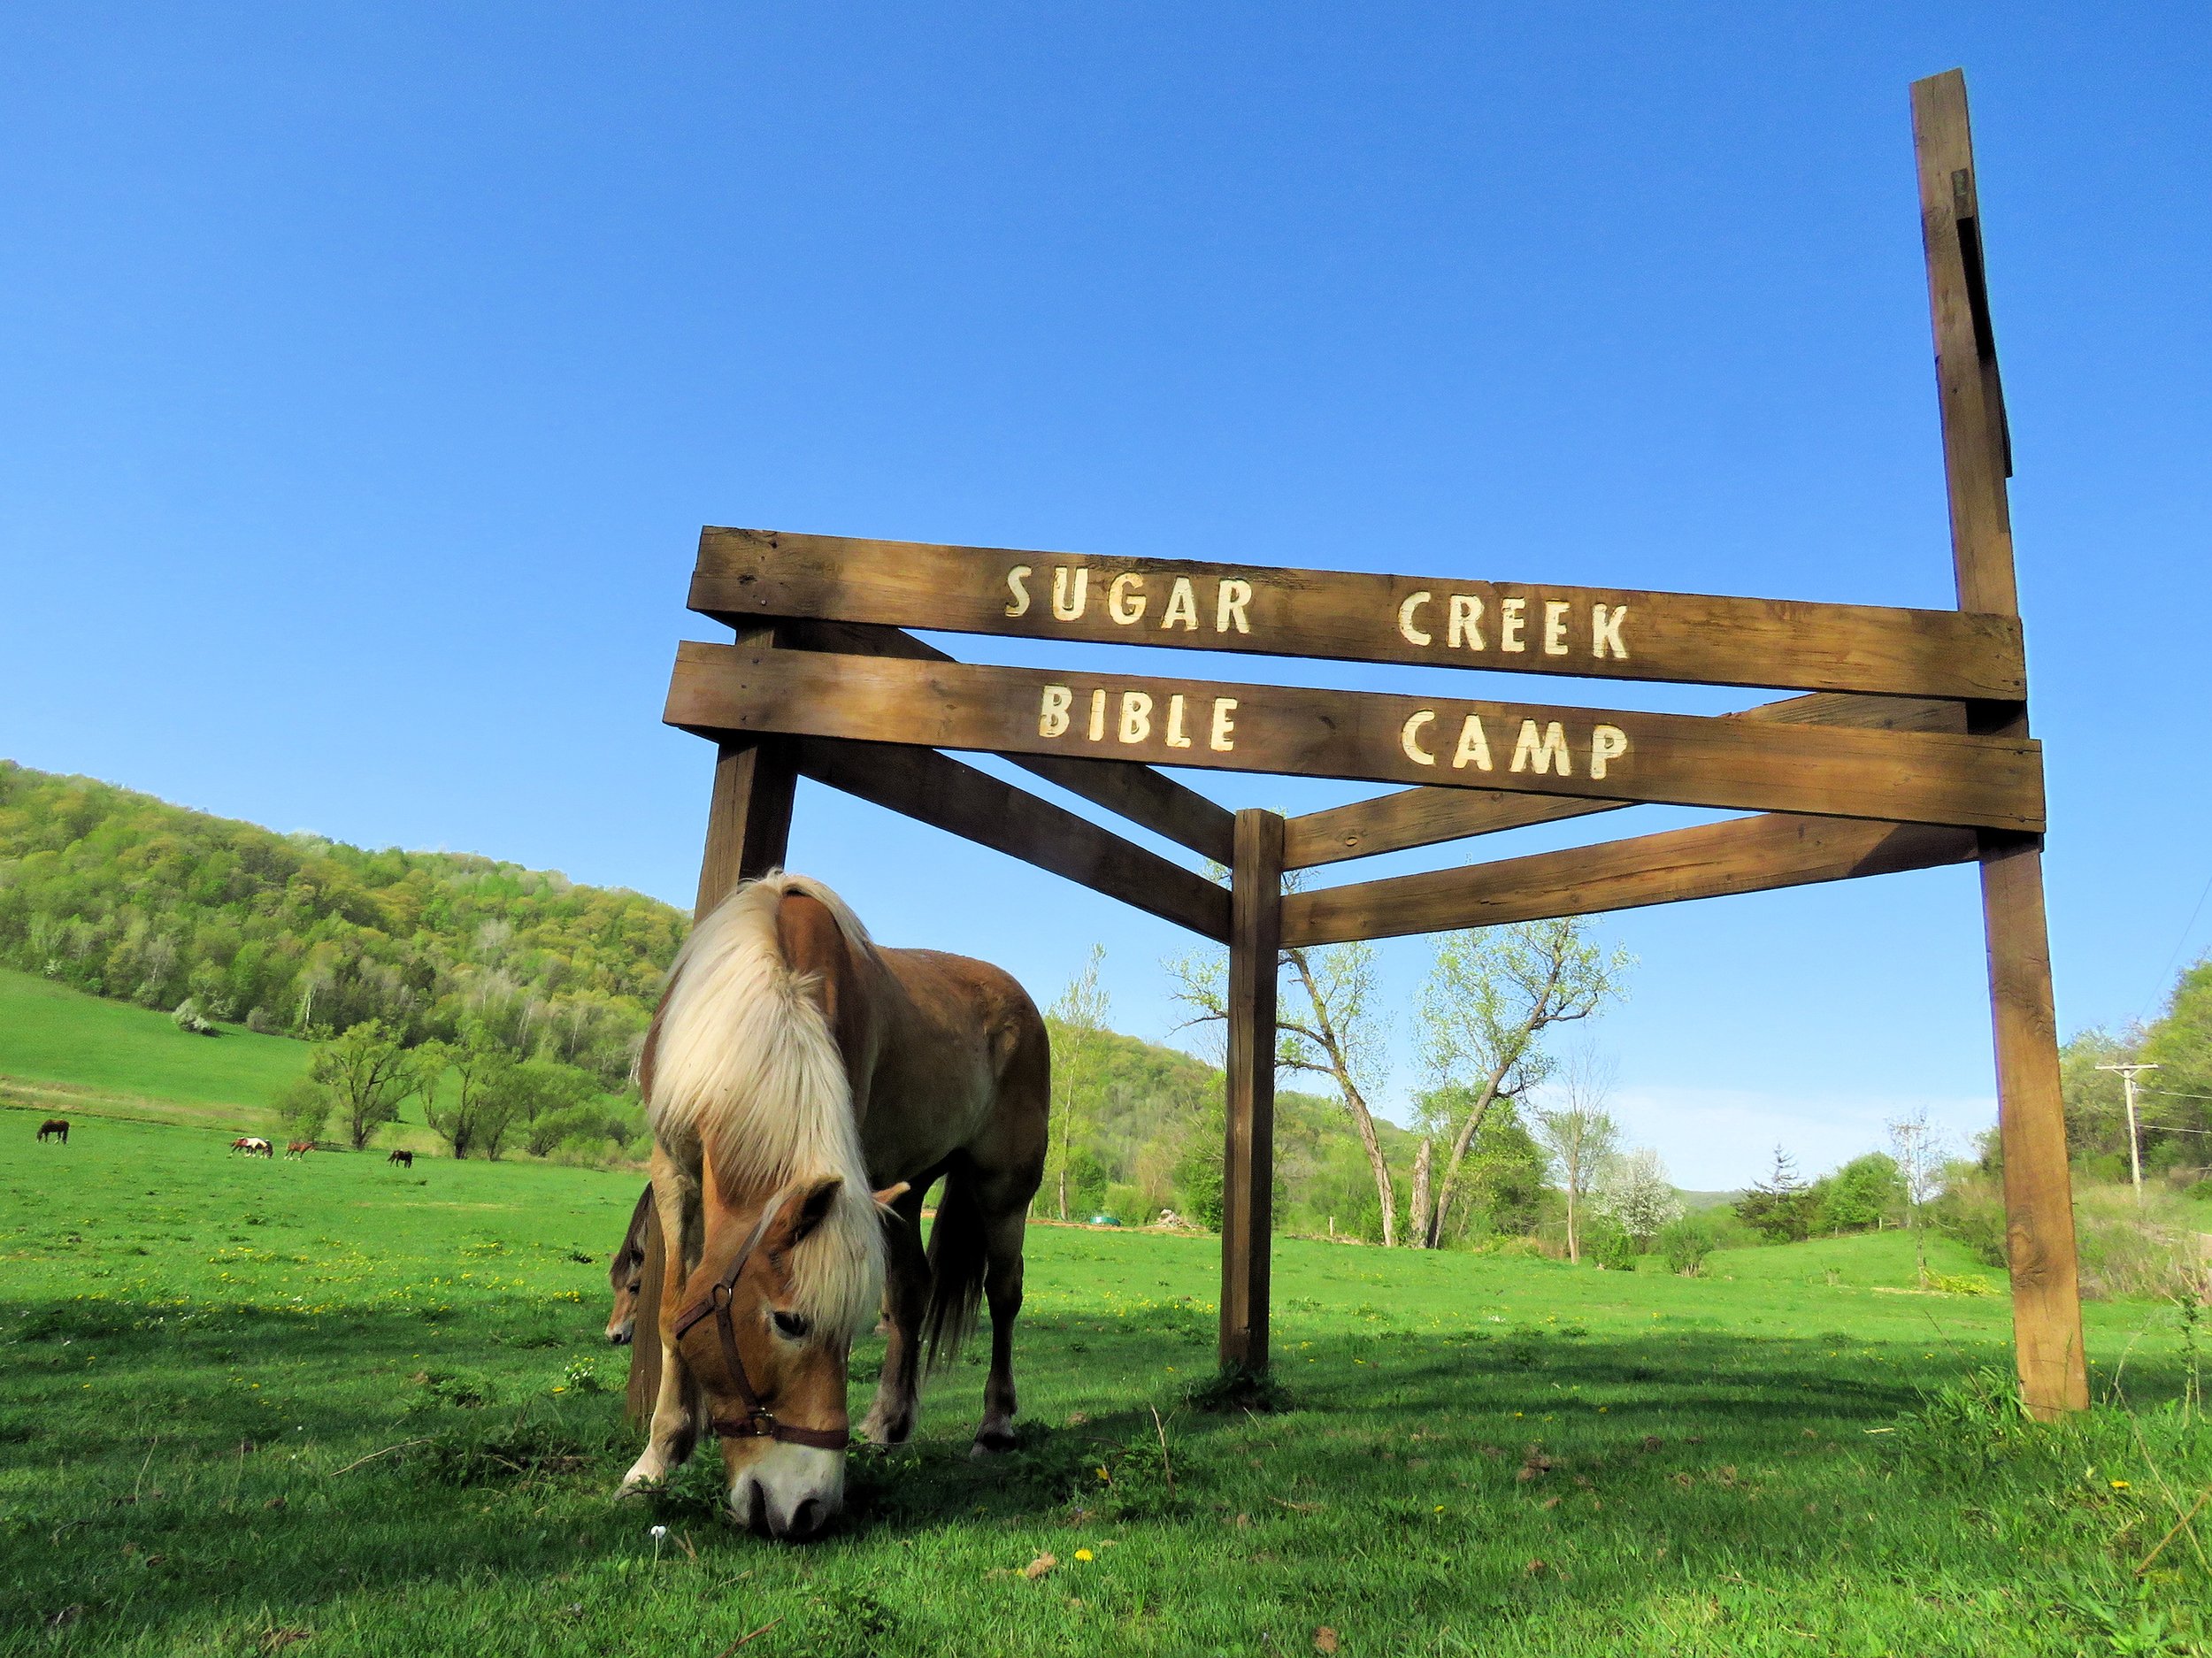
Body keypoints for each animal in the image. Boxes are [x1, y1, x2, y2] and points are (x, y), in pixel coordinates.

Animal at [619, 872, 1049, 1542]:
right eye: (789, 1322)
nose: (808, 1509)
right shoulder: (674, 1170)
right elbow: (670, 1312)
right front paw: (657, 1459)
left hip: (1004, 1191)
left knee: (1003, 1295)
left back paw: (995, 1426)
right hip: (905, 1187)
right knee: (911, 1293)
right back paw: (888, 1423)